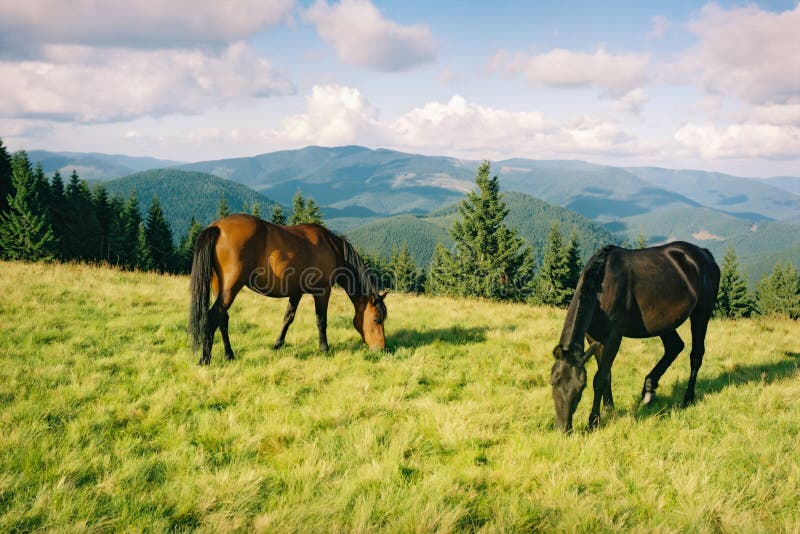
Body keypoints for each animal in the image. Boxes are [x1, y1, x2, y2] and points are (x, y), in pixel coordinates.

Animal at [188, 216, 388, 366]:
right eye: (376, 319)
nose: (382, 348)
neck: (332, 248)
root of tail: (217, 227)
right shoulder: (322, 291)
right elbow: (321, 321)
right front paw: (324, 348)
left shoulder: (296, 292)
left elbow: (288, 318)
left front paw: (277, 344)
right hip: (230, 289)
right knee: (212, 317)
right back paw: (205, 358)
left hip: (219, 288)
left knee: (222, 319)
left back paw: (229, 355)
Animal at [552, 243, 720, 436]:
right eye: (553, 382)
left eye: (581, 388)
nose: (564, 428)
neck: (602, 285)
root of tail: (705, 254)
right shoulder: (592, 337)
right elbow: (607, 374)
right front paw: (609, 409)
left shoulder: (614, 336)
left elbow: (600, 378)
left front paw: (594, 421)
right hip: (663, 322)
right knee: (674, 346)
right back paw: (649, 388)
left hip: (701, 313)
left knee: (696, 355)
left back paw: (688, 398)